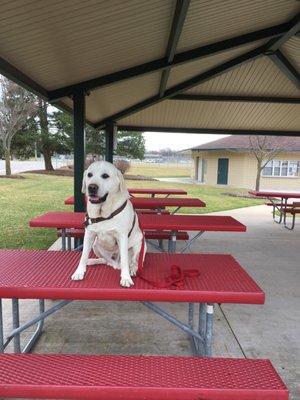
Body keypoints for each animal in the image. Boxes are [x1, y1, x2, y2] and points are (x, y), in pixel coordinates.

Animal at [70, 160, 145, 288]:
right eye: (89, 175)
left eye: (105, 176)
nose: (92, 187)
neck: (103, 214)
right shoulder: (89, 235)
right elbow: (83, 256)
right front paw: (79, 272)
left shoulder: (122, 237)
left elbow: (125, 261)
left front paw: (126, 278)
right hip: (96, 245)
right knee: (106, 260)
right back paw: (93, 261)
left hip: (139, 245)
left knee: (133, 261)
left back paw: (132, 270)